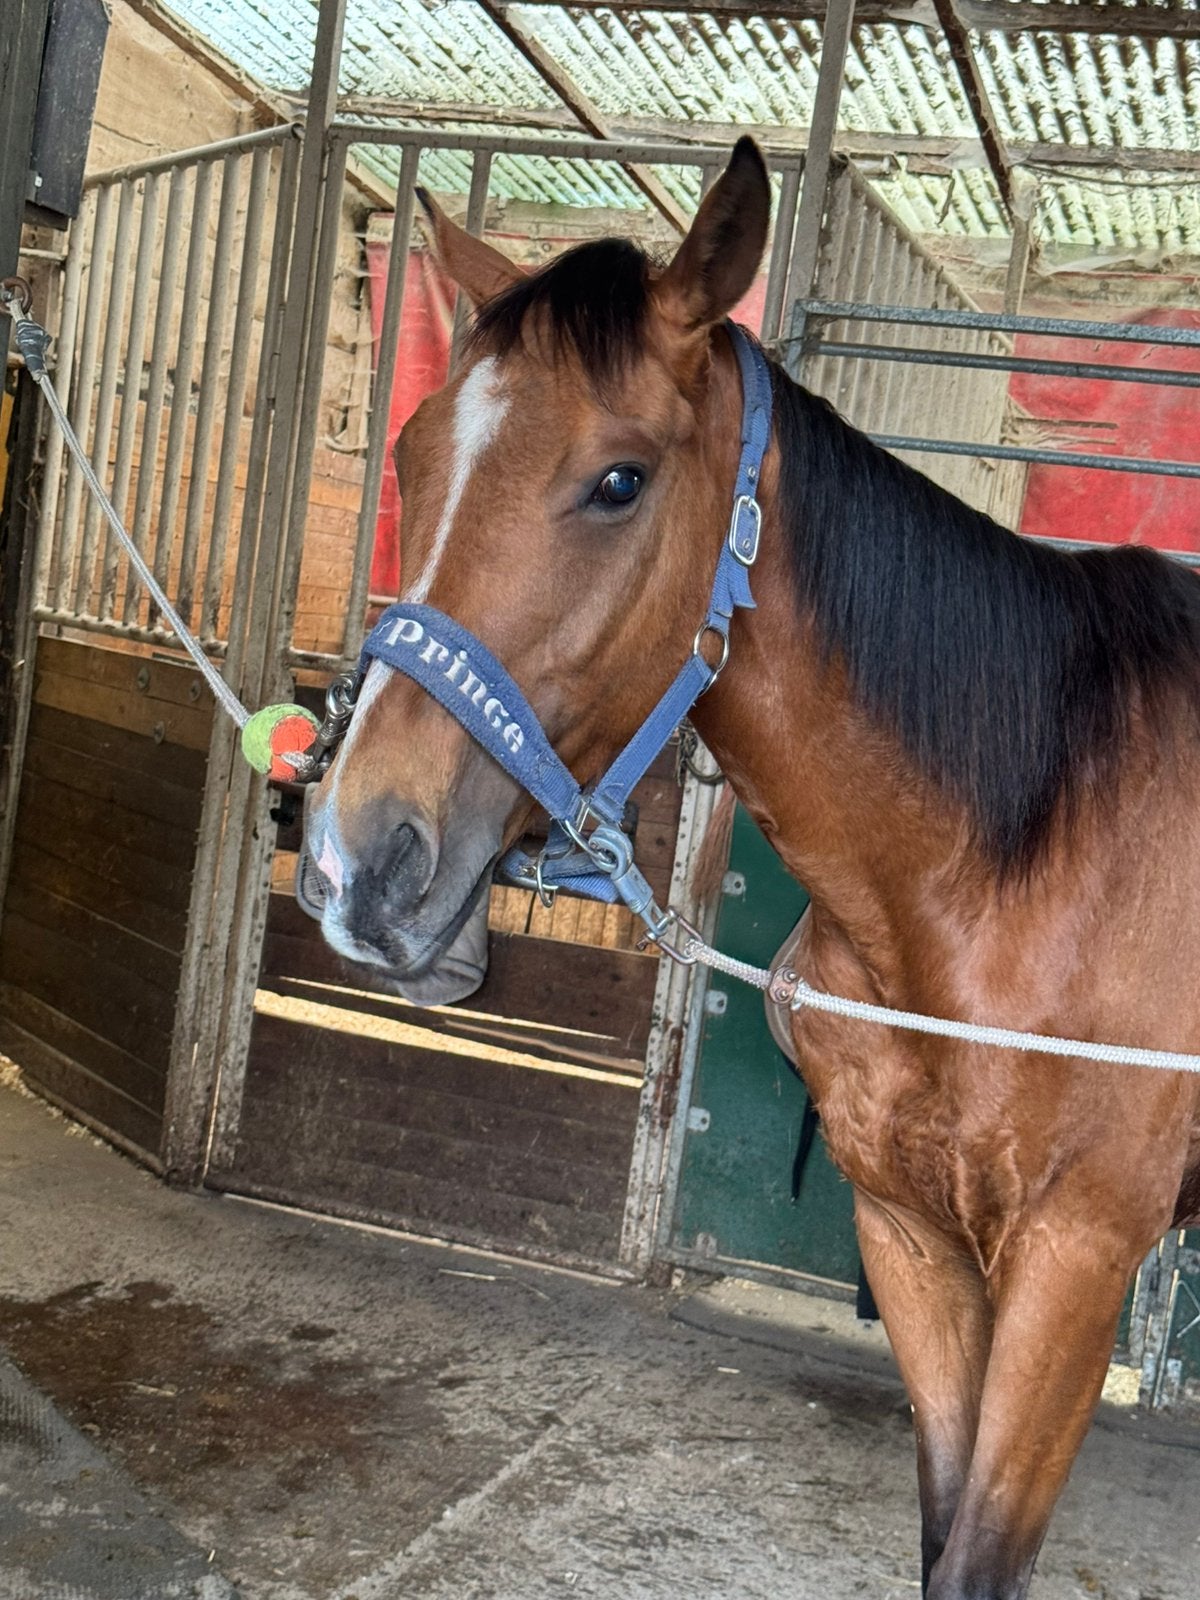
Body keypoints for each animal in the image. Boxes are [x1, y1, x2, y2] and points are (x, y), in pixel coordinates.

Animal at [305, 138, 1200, 1598]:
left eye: (620, 480)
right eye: (412, 452)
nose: (354, 859)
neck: (1015, 871)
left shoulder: (1077, 1258)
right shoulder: (912, 1238)